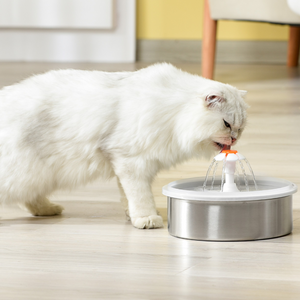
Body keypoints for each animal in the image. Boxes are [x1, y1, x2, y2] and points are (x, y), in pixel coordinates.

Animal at [0, 62, 247, 227]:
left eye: (240, 127)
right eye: (226, 124)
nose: (234, 139)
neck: (174, 111)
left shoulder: (122, 161)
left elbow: (128, 195)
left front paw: (132, 216)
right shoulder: (133, 162)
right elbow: (140, 195)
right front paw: (147, 218)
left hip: (34, 174)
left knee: (30, 197)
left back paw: (47, 210)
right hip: (24, 170)